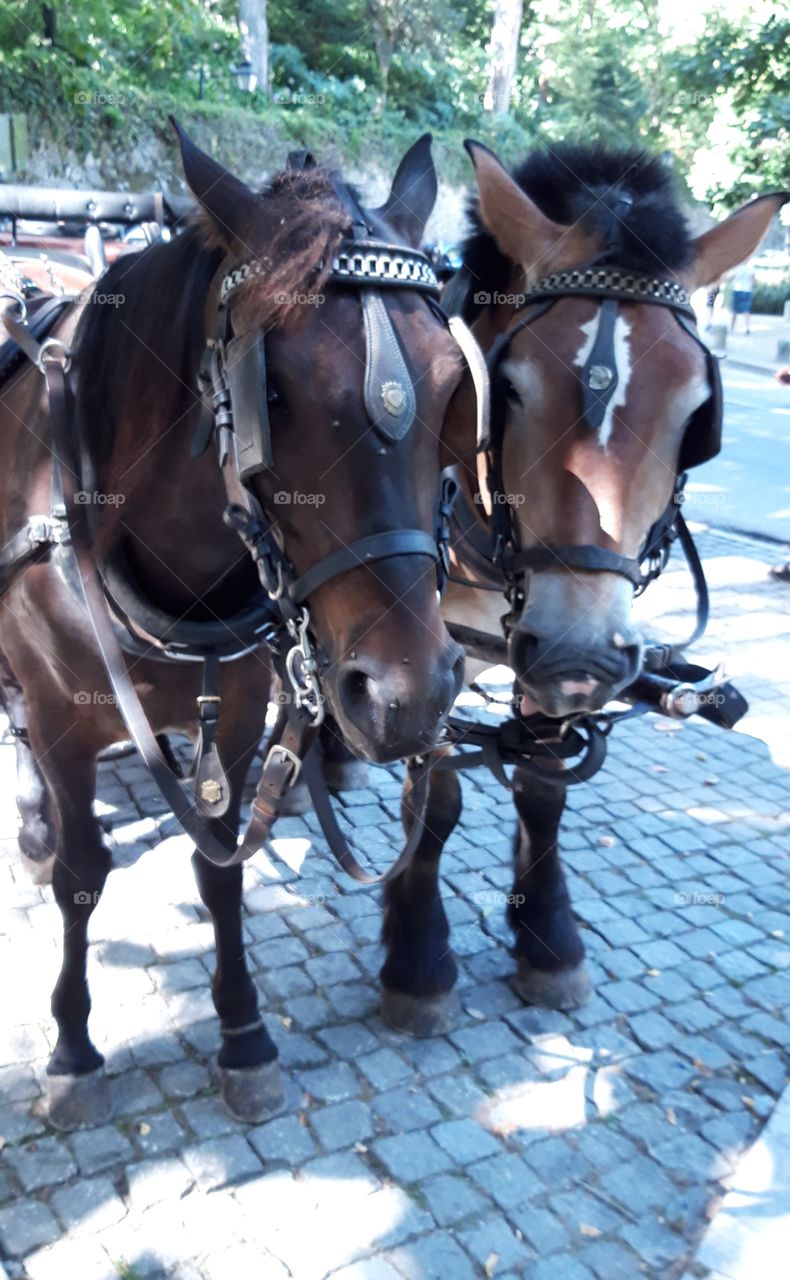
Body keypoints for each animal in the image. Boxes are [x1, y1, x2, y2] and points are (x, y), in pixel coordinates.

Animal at [0, 124, 473, 1126]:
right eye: (276, 391)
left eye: (455, 385)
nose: (411, 694)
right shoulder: (64, 718)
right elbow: (82, 875)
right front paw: (71, 1046)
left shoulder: (247, 707)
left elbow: (219, 866)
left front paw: (243, 1031)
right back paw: (30, 822)